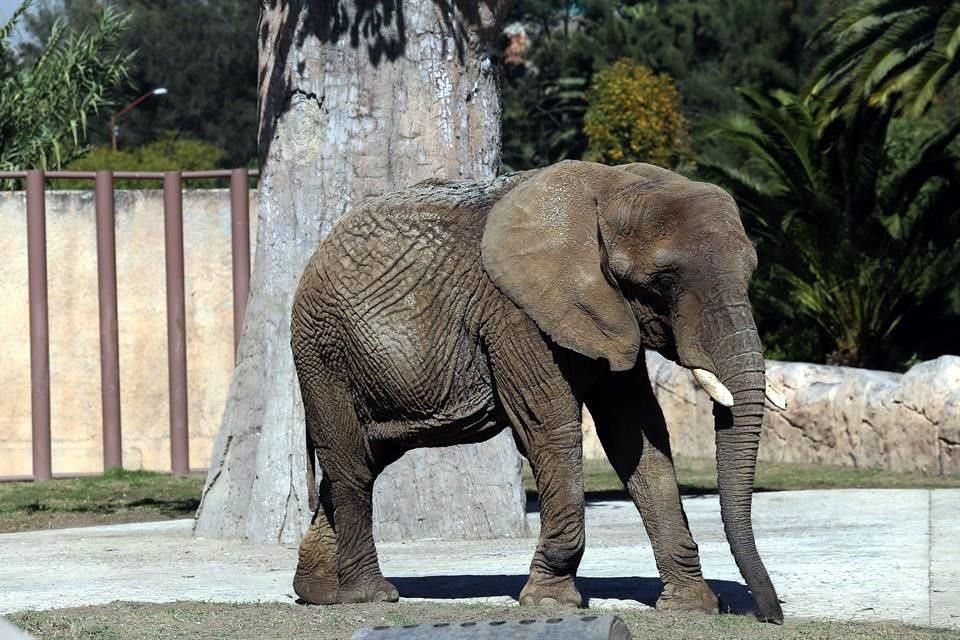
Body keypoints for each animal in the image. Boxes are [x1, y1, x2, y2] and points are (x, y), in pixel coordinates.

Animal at [288, 158, 784, 624]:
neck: (609, 189)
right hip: (322, 349)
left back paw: (319, 594)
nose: (770, 616)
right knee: (352, 465)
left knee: (365, 457)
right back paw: (370, 596)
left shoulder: (607, 313)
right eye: (664, 280)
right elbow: (550, 426)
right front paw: (551, 601)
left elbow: (636, 434)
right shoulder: (513, 312)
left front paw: (691, 607)